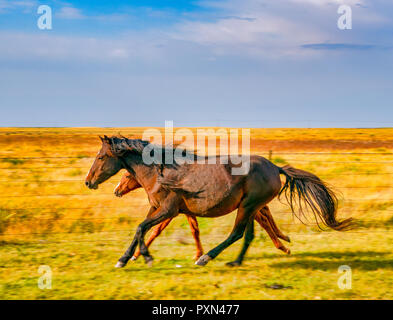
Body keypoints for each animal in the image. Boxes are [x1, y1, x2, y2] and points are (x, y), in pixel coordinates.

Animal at [113, 172, 290, 260]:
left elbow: (155, 231)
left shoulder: (170, 212)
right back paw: (283, 241)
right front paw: (198, 253)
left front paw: (136, 255)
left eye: (126, 176)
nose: (116, 191)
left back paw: (283, 245)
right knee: (264, 217)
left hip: (246, 207)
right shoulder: (187, 212)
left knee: (263, 220)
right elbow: (195, 230)